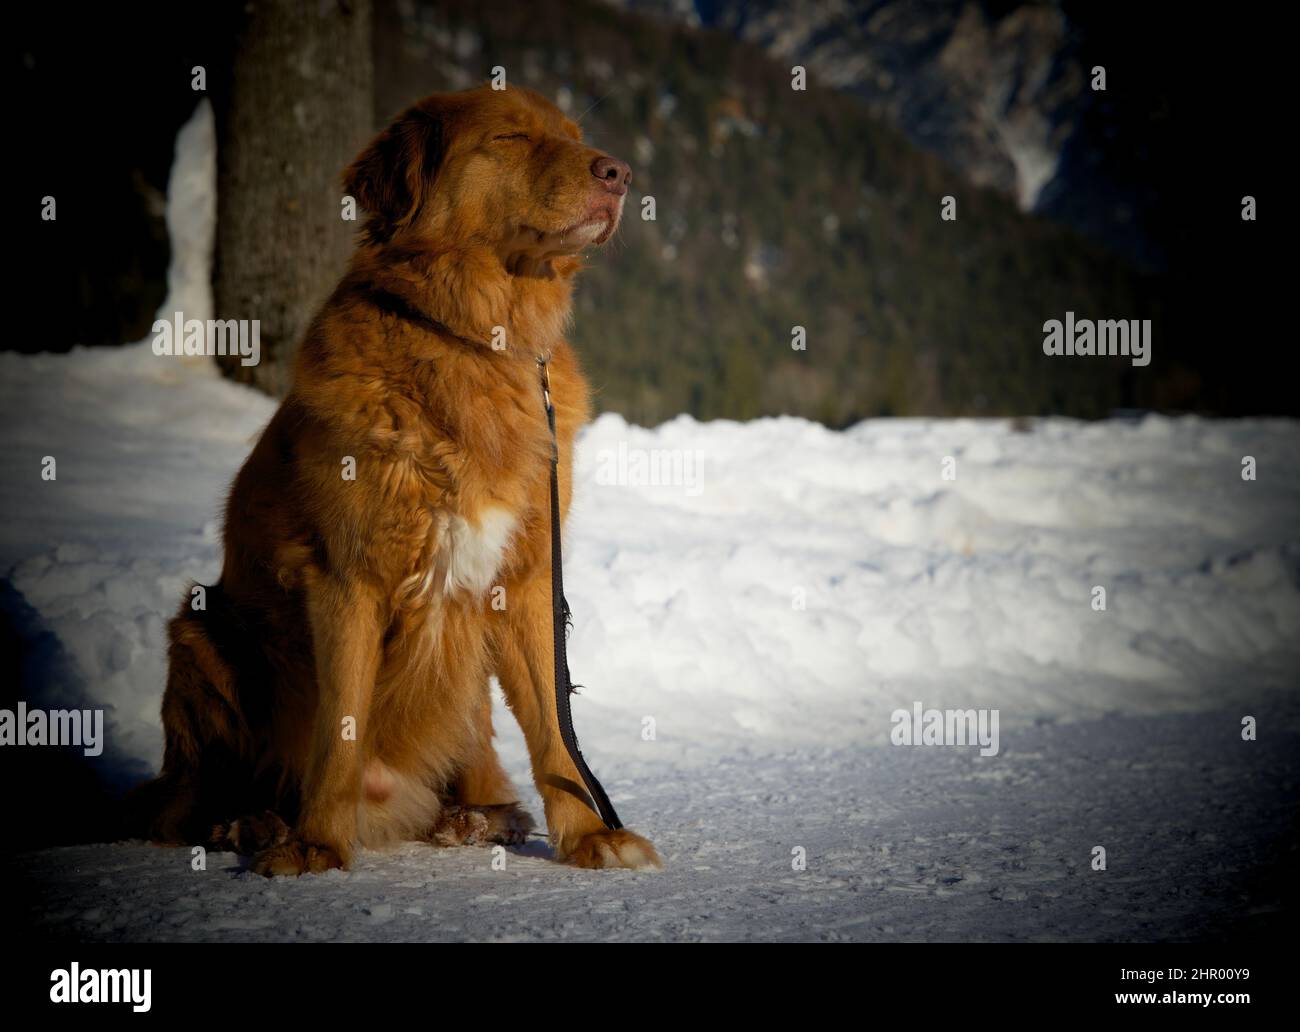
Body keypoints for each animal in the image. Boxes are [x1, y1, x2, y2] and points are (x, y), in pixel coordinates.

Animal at [124, 84, 660, 868]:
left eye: (570, 134)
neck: (476, 341)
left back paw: (475, 816)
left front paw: (591, 835)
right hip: (201, 630)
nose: (618, 173)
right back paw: (253, 823)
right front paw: (316, 844)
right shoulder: (348, 577)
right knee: (186, 804)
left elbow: (554, 729)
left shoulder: (529, 578)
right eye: (507, 137)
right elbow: (340, 728)